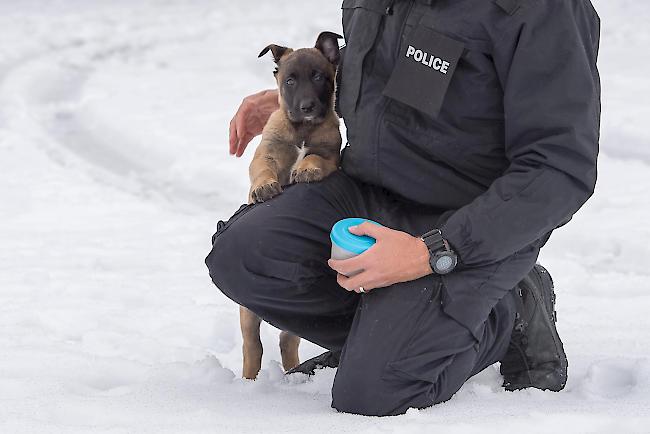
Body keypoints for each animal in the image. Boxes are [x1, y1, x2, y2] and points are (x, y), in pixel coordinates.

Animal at [238, 31, 342, 380]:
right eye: (290, 80)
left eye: (319, 77)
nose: (307, 106)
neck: (303, 130)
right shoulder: (266, 153)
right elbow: (263, 169)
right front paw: (264, 188)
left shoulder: (330, 155)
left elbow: (315, 158)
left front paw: (306, 170)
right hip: (247, 312)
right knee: (252, 346)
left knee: (287, 340)